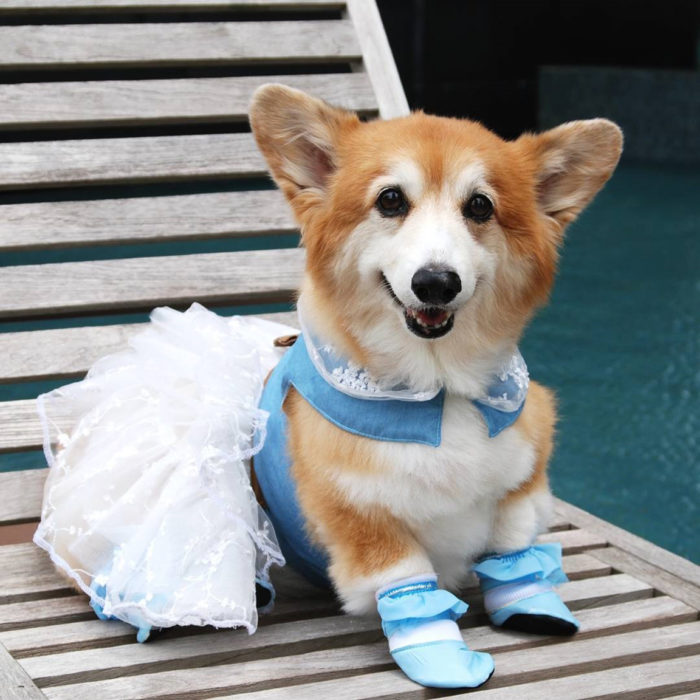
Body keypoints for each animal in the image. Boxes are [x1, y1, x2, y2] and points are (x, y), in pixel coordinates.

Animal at [250, 83, 624, 688]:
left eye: (480, 206)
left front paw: (533, 606)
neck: (436, 386)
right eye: (390, 200)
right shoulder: (368, 525)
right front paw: (440, 656)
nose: (436, 283)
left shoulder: (518, 486)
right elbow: (410, 585)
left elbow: (511, 552)